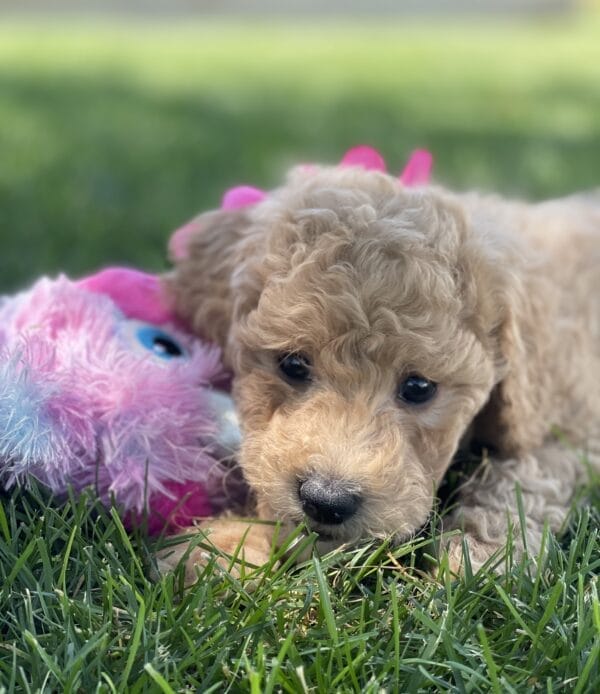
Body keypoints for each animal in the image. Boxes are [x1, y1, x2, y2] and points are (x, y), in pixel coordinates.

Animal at [159, 163, 600, 576]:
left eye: (419, 387)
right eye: (293, 364)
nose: (327, 500)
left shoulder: (568, 423)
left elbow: (528, 475)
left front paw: (478, 552)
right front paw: (216, 547)